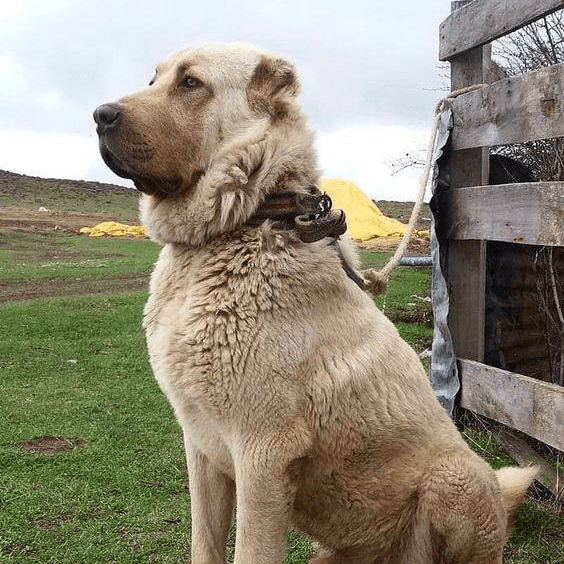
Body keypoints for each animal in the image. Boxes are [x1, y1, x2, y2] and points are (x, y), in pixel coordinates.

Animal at [93, 44, 536, 564]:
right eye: (153, 80)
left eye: (191, 83)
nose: (100, 115)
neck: (241, 225)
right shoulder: (201, 446)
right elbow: (205, 544)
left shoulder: (263, 456)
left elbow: (250, 552)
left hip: (455, 477)